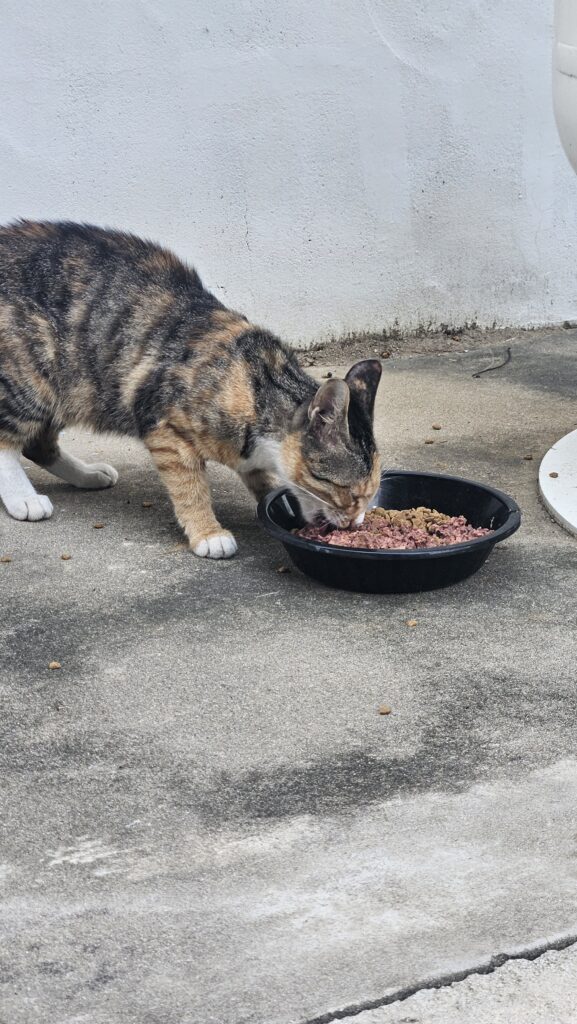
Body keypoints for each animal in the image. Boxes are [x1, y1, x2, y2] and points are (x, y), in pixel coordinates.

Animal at [0, 221, 382, 558]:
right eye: (348, 492)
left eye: (370, 494)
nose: (355, 522)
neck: (256, 390)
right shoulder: (165, 429)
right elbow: (190, 487)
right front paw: (208, 533)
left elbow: (259, 477)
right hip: (35, 370)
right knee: (9, 438)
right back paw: (24, 498)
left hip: (75, 389)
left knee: (38, 444)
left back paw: (87, 475)